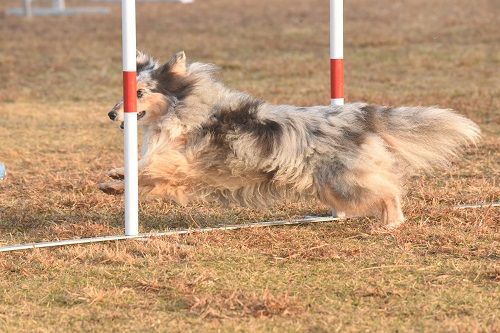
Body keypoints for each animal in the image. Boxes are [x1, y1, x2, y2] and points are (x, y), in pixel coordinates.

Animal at [100, 50, 480, 230]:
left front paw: (117, 179)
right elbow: (142, 173)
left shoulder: (181, 161)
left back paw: (390, 224)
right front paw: (115, 180)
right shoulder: (176, 168)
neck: (185, 106)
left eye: (139, 93)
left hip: (345, 180)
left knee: (389, 190)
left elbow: (147, 168)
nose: (111, 114)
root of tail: (362, 114)